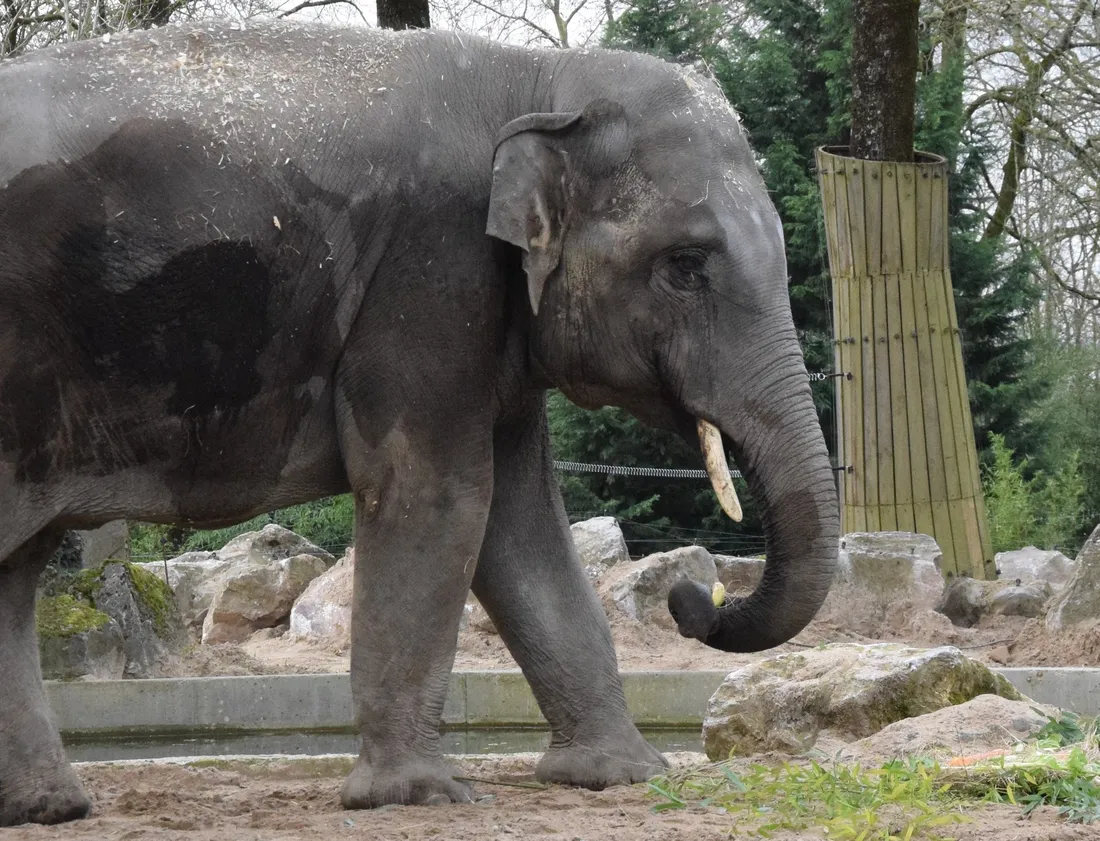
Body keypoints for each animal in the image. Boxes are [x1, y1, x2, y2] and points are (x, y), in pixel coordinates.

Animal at [0, 20, 839, 826]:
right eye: (685, 265)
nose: (694, 596)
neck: (540, 81)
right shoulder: (431, 269)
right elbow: (440, 495)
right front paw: (419, 793)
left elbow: (520, 522)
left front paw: (623, 773)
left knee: (15, 566)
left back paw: (50, 807)